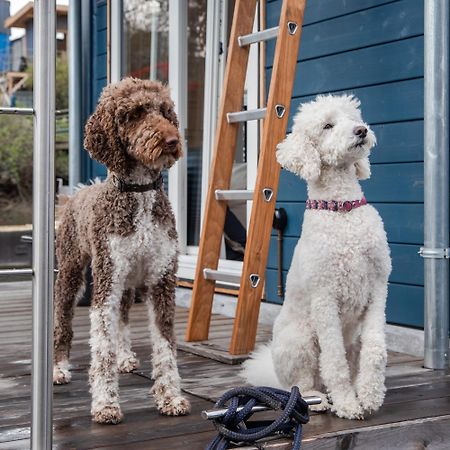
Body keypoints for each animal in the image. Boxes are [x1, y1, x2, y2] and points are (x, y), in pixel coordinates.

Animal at [52, 77, 190, 426]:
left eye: (164, 111)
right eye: (135, 113)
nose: (172, 140)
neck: (138, 195)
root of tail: (80, 191)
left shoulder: (161, 279)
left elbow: (165, 345)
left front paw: (170, 397)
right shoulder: (106, 282)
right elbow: (102, 346)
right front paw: (105, 404)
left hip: (128, 281)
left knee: (125, 317)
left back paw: (126, 356)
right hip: (70, 274)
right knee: (63, 323)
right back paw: (59, 368)